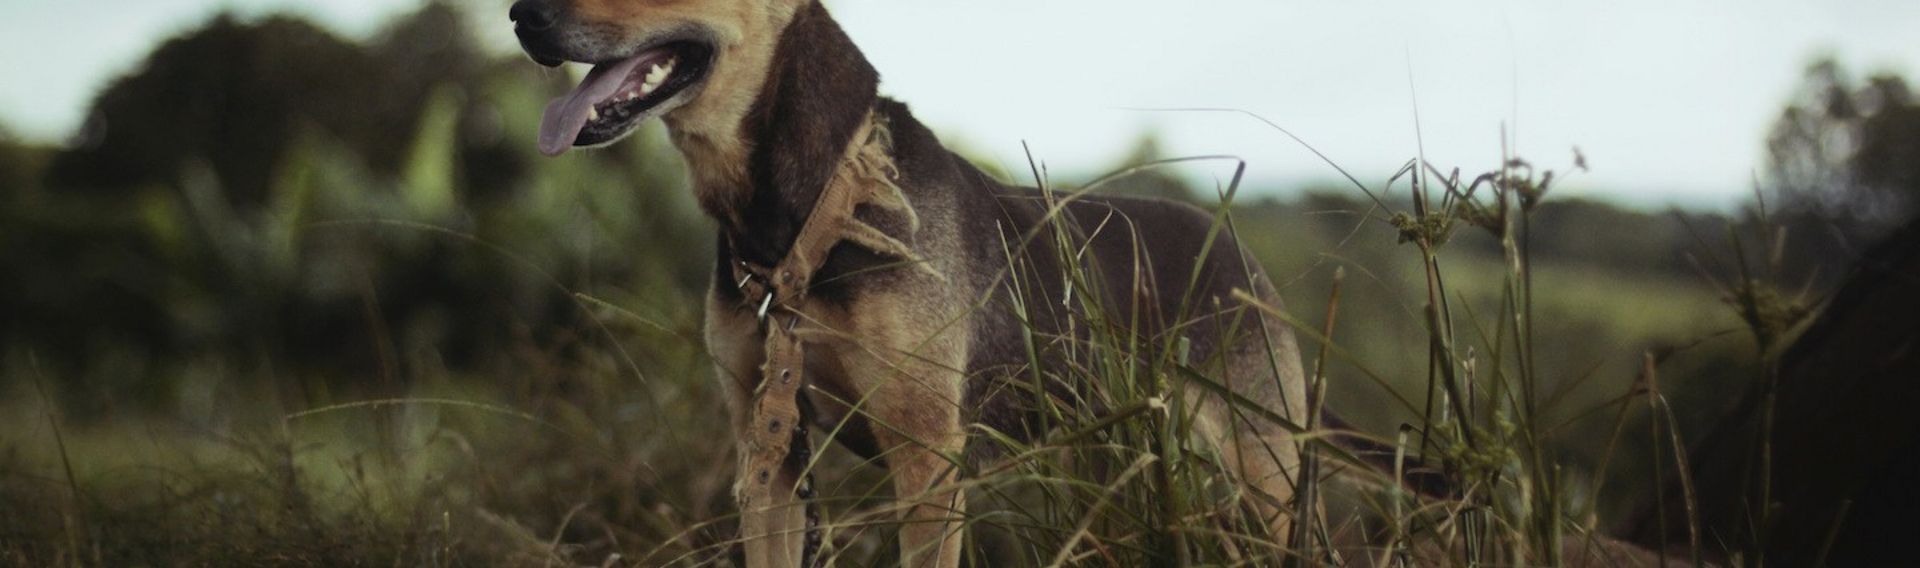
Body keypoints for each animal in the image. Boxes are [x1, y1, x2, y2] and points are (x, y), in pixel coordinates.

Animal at [510, 2, 1313, 564]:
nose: (521, 15)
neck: (818, 207)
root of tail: (1243, 258)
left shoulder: (925, 454)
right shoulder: (766, 449)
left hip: (1260, 471)